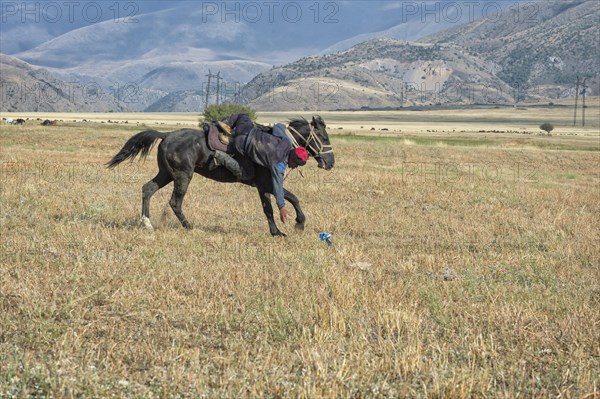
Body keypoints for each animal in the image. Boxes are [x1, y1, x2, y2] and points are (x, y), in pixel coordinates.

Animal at [107, 115, 332, 236]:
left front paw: (276, 232)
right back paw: (189, 226)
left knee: (148, 189)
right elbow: (292, 198)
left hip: (166, 174)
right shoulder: (267, 183)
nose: (330, 162)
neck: (280, 142)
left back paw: (146, 223)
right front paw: (299, 223)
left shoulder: (262, 187)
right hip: (182, 176)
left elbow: (268, 209)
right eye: (323, 137)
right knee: (175, 202)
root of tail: (167, 135)